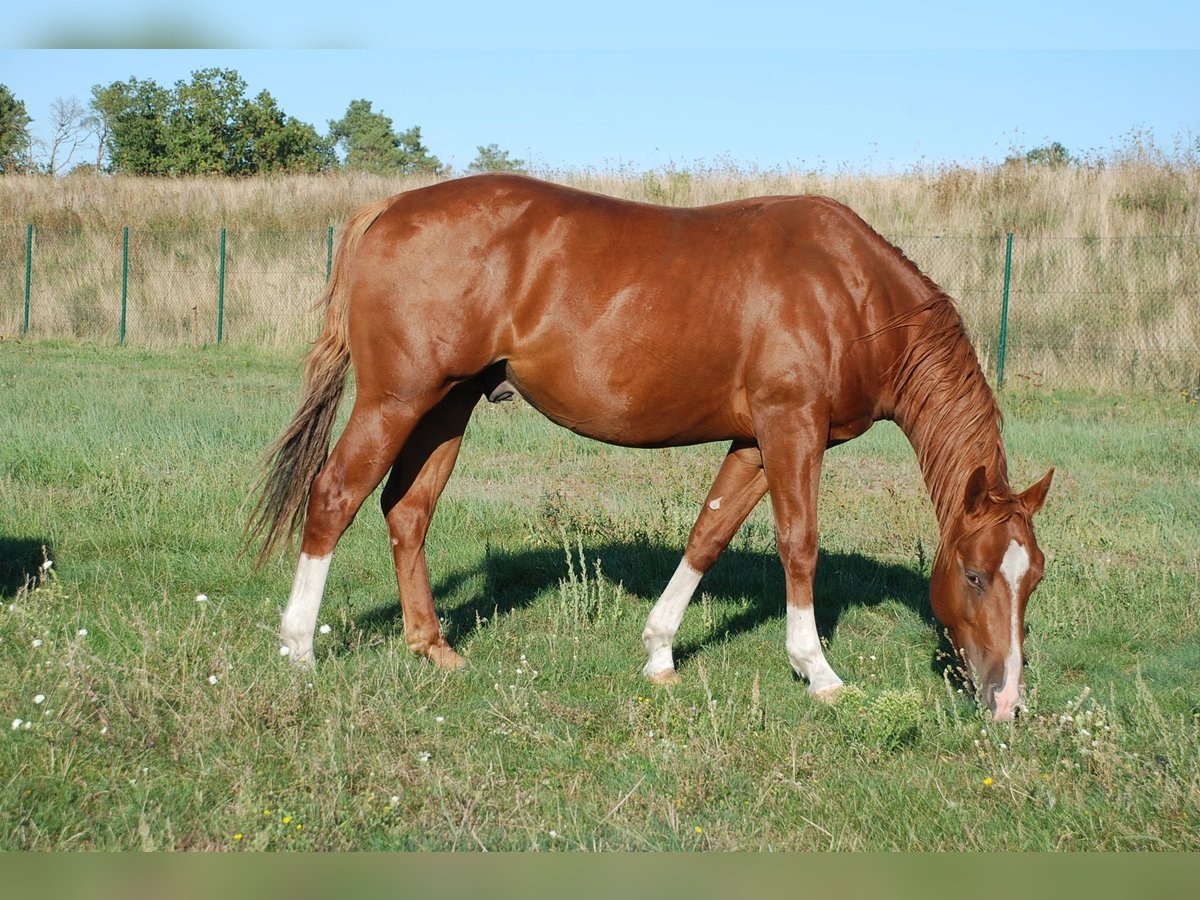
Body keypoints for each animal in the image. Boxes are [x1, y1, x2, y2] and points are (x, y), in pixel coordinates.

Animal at [248, 173, 1053, 722]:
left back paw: (432, 646)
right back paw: (299, 650)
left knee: (407, 510)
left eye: (1034, 579)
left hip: (448, 404)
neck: (851, 294)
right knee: (336, 495)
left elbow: (707, 536)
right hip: (396, 399)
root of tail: (389, 208)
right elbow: (800, 545)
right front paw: (817, 670)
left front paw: (661, 652)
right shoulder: (791, 429)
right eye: (975, 575)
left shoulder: (754, 442)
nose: (1008, 701)